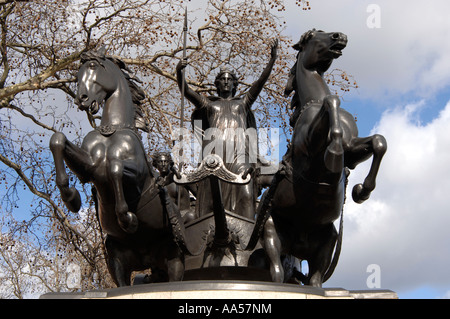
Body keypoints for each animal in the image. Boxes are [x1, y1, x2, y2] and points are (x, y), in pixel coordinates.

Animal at [49, 48, 192, 288]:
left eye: (93, 67)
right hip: (118, 262)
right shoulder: (90, 168)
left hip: (175, 259)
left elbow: (114, 167)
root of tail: (147, 259)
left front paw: (128, 219)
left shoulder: (137, 174)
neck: (112, 130)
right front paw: (71, 198)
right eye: (77, 74)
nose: (82, 99)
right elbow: (58, 140)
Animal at [255, 30, 388, 288]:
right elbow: (332, 101)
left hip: (327, 244)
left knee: (315, 281)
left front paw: (361, 191)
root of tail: (298, 243)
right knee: (276, 273)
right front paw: (333, 154)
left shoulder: (353, 150)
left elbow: (379, 142)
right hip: (271, 234)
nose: (340, 36)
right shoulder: (309, 146)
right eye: (315, 36)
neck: (313, 102)